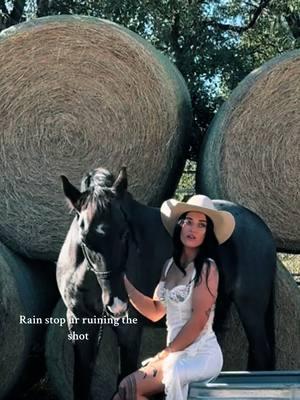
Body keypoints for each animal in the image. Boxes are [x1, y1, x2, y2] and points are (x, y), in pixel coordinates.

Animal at [56, 166, 276, 400]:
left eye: (125, 234)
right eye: (85, 239)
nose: (117, 305)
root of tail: (260, 226)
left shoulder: (129, 330)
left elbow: (125, 377)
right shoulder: (80, 322)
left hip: (251, 309)